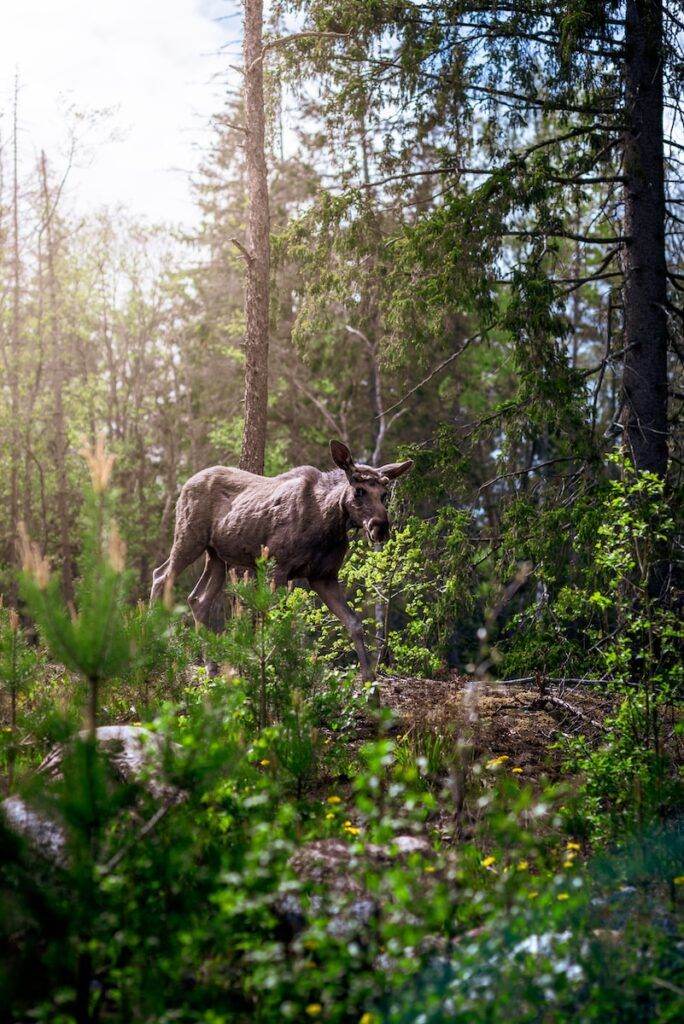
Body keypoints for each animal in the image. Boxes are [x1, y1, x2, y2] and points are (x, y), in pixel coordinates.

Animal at [150, 440, 413, 679]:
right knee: (161, 576)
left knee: (197, 599)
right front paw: (272, 669)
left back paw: (211, 666)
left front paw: (370, 678)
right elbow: (273, 619)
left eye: (385, 494)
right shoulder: (277, 567)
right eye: (359, 490)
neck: (328, 524)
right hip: (189, 538)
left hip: (217, 556)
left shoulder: (323, 576)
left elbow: (354, 624)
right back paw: (152, 645)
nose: (381, 528)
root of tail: (185, 485)